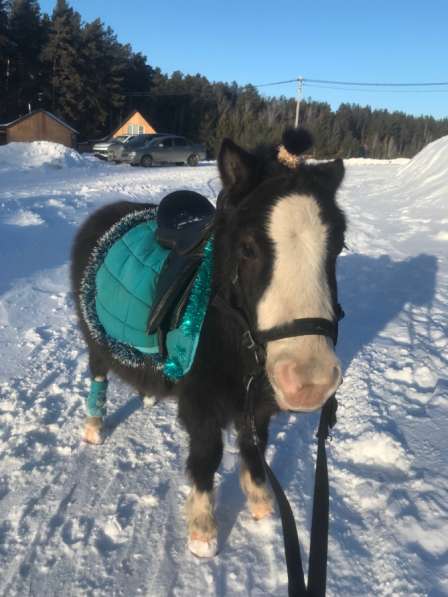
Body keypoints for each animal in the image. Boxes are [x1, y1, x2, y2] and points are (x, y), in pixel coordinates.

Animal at [71, 128, 346, 556]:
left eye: (338, 246)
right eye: (247, 248)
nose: (310, 381)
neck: (231, 333)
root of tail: (105, 215)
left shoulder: (257, 403)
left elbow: (253, 446)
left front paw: (261, 504)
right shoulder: (201, 405)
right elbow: (207, 456)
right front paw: (203, 532)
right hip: (95, 339)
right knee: (98, 373)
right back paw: (94, 426)